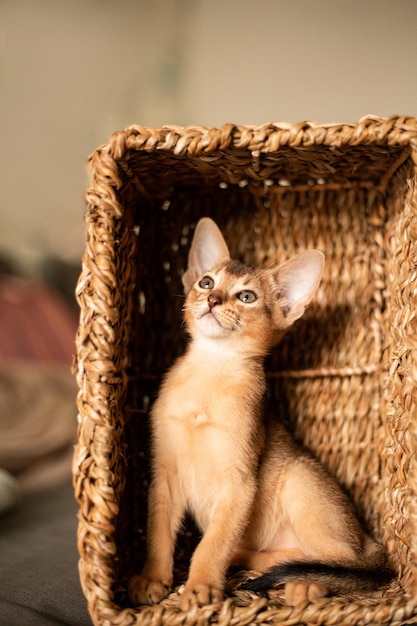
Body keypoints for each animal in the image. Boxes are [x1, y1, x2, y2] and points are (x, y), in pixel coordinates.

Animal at [127, 217, 390, 608]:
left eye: (246, 296)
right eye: (207, 282)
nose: (212, 299)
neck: (210, 374)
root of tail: (363, 532)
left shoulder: (239, 482)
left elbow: (213, 543)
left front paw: (200, 586)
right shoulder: (165, 473)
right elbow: (159, 534)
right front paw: (152, 578)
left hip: (300, 481)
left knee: (341, 560)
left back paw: (307, 584)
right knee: (298, 556)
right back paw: (246, 560)